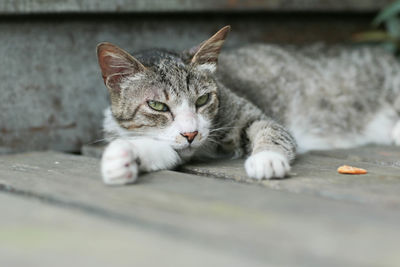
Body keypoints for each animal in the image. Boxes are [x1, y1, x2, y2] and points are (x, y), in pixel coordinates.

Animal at [96, 25, 400, 185]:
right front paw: (122, 158)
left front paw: (268, 159)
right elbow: (163, 151)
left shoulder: (251, 114)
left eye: (203, 99)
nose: (191, 133)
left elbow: (271, 130)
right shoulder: (176, 147)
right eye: (157, 105)